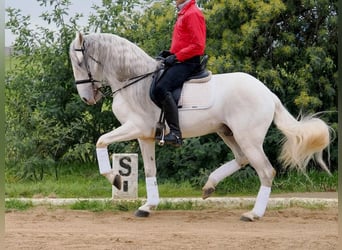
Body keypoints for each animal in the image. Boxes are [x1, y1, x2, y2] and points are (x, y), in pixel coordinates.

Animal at [69, 32, 332, 221]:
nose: (86, 99)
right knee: (242, 159)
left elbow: (101, 141)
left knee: (266, 171)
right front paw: (148, 206)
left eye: (79, 62)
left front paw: (115, 179)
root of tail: (268, 93)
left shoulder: (135, 127)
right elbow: (151, 171)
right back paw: (209, 186)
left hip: (247, 137)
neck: (134, 81)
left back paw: (253, 214)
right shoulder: (145, 136)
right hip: (227, 132)